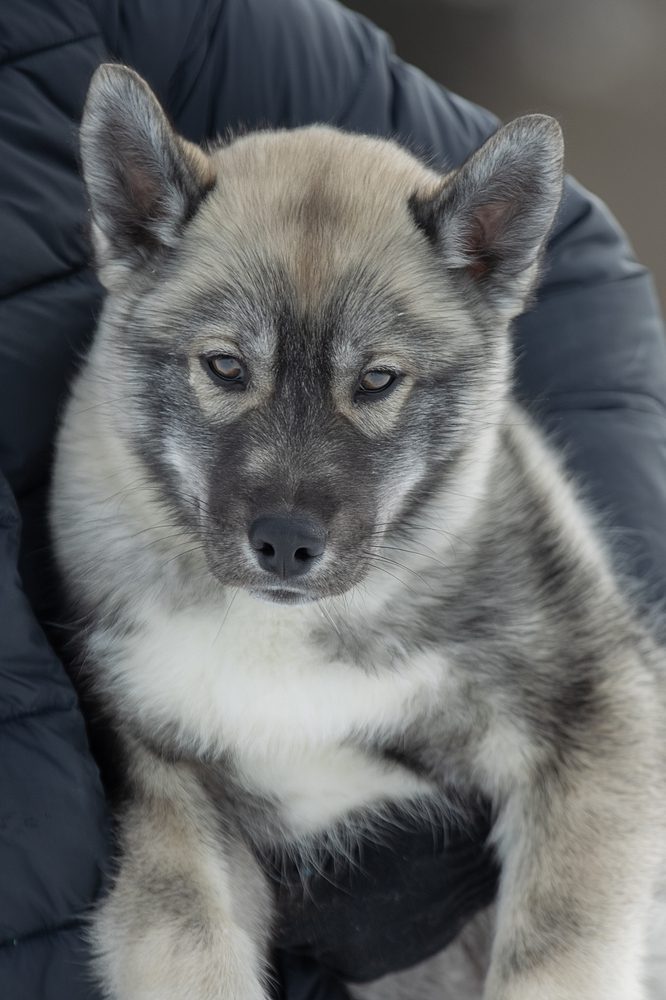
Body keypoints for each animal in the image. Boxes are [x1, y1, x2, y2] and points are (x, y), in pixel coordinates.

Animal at [52, 64, 664, 1000]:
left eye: (377, 380)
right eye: (224, 366)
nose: (285, 543)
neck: (288, 638)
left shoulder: (596, 714)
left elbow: (559, 950)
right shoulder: (169, 795)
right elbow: (184, 940)